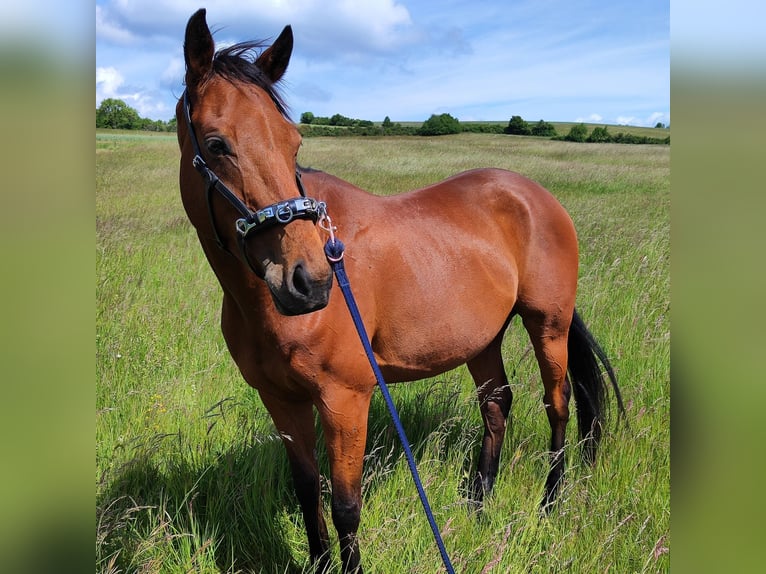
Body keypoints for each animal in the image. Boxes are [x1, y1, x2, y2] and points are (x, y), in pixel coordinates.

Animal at [177, 9, 623, 573]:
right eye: (216, 144)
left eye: (293, 143)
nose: (309, 281)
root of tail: (535, 195)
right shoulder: (281, 401)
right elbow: (307, 493)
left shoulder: (346, 400)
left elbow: (345, 506)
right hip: (483, 338)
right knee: (497, 404)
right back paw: (479, 502)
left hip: (548, 324)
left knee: (558, 403)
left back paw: (550, 501)